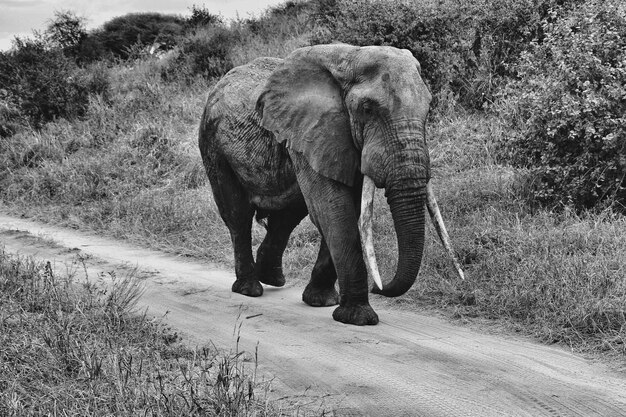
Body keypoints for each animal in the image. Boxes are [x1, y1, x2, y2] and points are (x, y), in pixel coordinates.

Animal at [197, 44, 460, 324]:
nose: (378, 287)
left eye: (428, 109)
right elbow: (334, 211)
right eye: (367, 109)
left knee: (288, 214)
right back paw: (249, 289)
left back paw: (272, 278)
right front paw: (358, 318)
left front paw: (322, 302)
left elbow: (344, 209)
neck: (352, 58)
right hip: (213, 145)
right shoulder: (310, 131)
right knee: (238, 215)